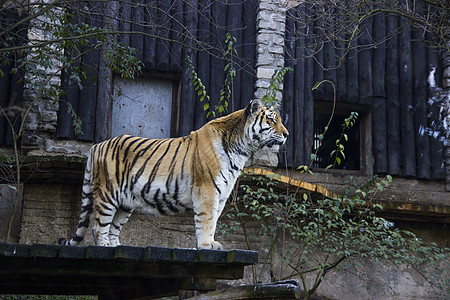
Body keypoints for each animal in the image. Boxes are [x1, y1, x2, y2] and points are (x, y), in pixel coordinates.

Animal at [59, 99, 288, 250]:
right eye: (271, 120)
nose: (287, 134)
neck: (241, 149)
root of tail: (96, 145)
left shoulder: (221, 194)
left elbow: (214, 220)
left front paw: (210, 242)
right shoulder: (207, 189)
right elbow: (206, 219)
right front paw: (207, 244)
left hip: (125, 203)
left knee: (113, 228)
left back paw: (116, 247)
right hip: (108, 194)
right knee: (98, 227)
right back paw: (105, 247)